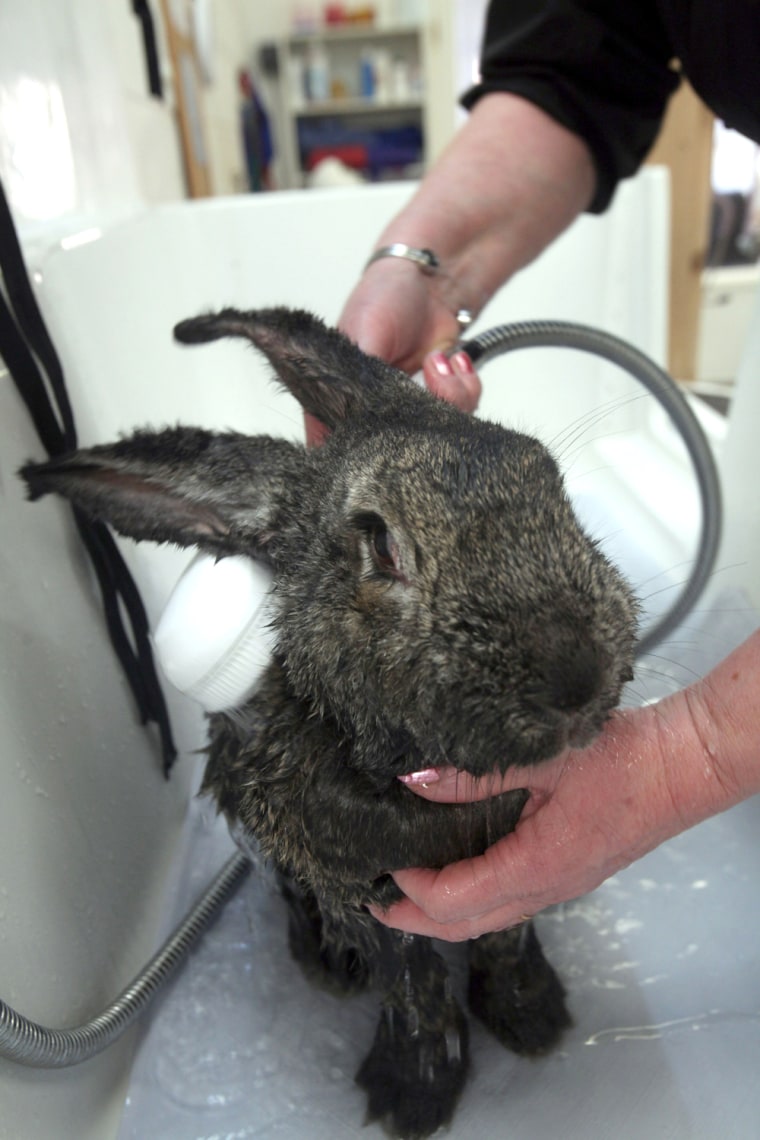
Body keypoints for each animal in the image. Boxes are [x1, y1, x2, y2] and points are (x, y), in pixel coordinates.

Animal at [20, 310, 638, 1140]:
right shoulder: (374, 900)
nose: (577, 678)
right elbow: (414, 987)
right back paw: (328, 966)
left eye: (545, 475)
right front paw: (414, 1095)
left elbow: (506, 938)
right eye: (380, 542)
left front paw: (533, 1019)